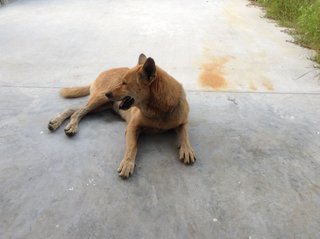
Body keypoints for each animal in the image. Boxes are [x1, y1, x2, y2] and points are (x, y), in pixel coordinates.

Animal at [48, 53, 195, 177]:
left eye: (125, 83)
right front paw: (128, 163)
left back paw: (57, 122)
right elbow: (132, 146)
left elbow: (185, 135)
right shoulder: (132, 127)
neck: (158, 109)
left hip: (102, 105)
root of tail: (101, 73)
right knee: (78, 111)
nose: (108, 93)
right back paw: (69, 125)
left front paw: (187, 149)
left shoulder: (183, 123)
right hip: (99, 99)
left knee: (74, 109)